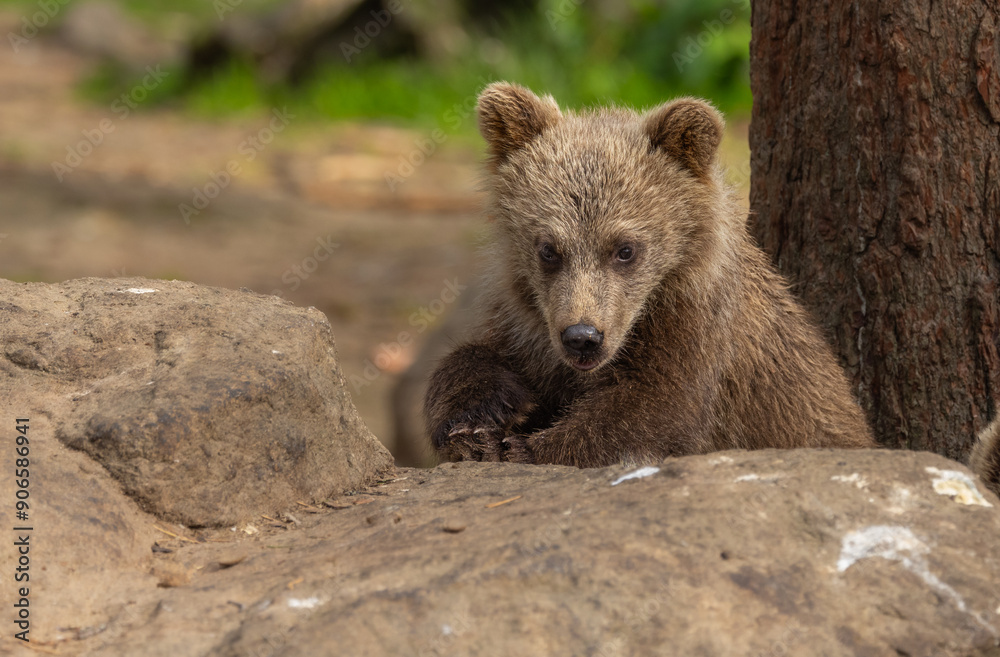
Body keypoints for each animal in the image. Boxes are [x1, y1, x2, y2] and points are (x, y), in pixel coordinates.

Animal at [424, 82, 879, 467]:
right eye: (548, 249)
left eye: (625, 249)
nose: (582, 337)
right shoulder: (527, 325)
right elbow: (473, 357)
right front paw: (481, 421)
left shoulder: (696, 337)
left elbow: (653, 410)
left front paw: (523, 446)